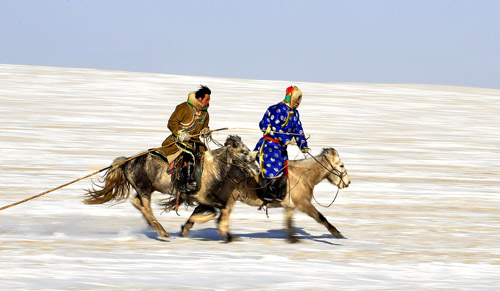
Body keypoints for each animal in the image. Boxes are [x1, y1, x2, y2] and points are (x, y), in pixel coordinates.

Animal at [181, 149, 352, 243]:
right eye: (341, 165)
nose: (348, 182)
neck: (304, 175)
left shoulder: (290, 206)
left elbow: (289, 224)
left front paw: (293, 240)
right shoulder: (303, 203)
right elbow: (321, 218)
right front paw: (338, 234)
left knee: (202, 210)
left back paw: (185, 229)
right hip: (228, 199)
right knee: (220, 217)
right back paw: (229, 237)